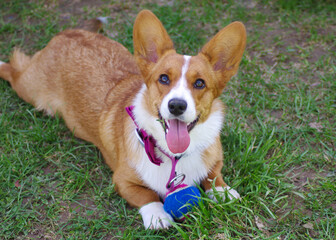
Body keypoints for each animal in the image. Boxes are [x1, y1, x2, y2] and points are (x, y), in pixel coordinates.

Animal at [0, 10, 247, 230]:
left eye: (200, 83)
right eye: (163, 78)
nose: (176, 105)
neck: (174, 155)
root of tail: (65, 34)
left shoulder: (214, 160)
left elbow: (213, 175)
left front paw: (223, 192)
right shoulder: (122, 180)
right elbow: (146, 194)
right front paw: (157, 216)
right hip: (30, 90)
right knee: (14, 69)